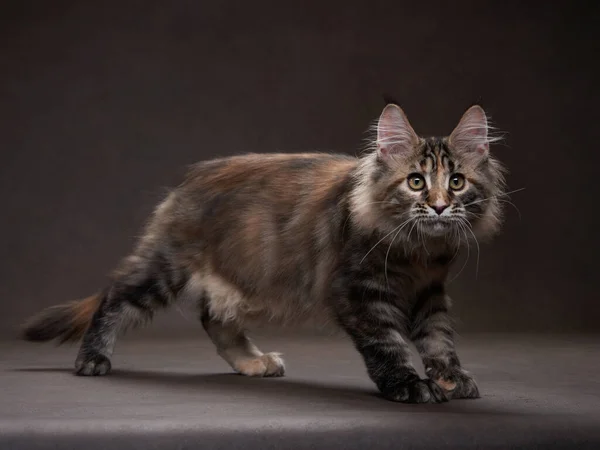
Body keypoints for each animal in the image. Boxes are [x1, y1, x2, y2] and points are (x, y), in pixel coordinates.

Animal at [21, 103, 504, 404]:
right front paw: (409, 384)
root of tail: (188, 181)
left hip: (242, 280)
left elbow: (439, 340)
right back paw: (91, 359)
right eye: (416, 182)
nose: (439, 205)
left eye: (457, 181)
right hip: (166, 266)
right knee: (115, 295)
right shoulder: (358, 292)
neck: (417, 250)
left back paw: (252, 362)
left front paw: (452, 378)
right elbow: (389, 343)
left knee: (212, 318)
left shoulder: (430, 292)